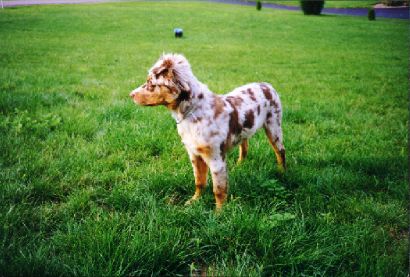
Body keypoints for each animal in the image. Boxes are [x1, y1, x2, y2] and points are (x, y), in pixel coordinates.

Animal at [129, 53, 286, 209]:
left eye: (151, 83)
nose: (131, 95)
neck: (193, 113)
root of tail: (267, 85)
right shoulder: (194, 153)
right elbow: (199, 181)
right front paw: (193, 201)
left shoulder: (216, 157)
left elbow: (219, 189)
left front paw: (219, 212)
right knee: (244, 146)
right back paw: (240, 165)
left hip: (274, 126)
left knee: (280, 151)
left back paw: (282, 173)